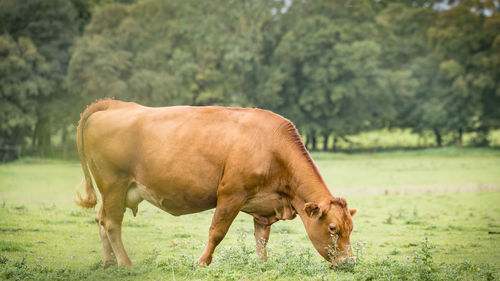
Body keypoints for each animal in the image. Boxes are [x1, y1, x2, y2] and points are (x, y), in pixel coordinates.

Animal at [74, 98, 356, 266]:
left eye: (351, 228)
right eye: (332, 228)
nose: (350, 262)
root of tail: (114, 104)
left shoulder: (264, 206)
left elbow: (262, 238)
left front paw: (262, 264)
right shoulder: (231, 194)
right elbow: (217, 231)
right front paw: (202, 262)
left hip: (117, 191)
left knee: (101, 220)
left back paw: (109, 263)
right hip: (114, 184)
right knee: (112, 223)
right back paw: (126, 264)